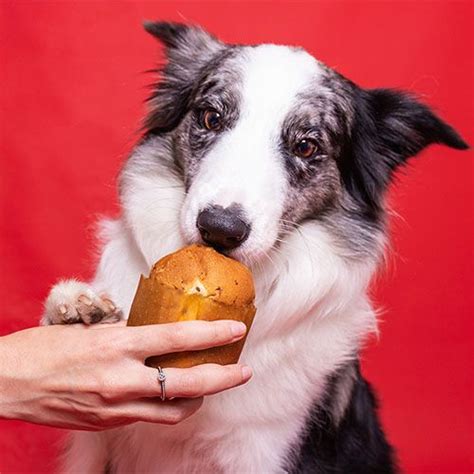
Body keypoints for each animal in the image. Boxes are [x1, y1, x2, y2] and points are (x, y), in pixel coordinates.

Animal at [42, 22, 468, 474]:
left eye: (306, 146)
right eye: (211, 117)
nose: (220, 228)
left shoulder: (262, 449)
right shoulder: (92, 448)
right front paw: (73, 306)